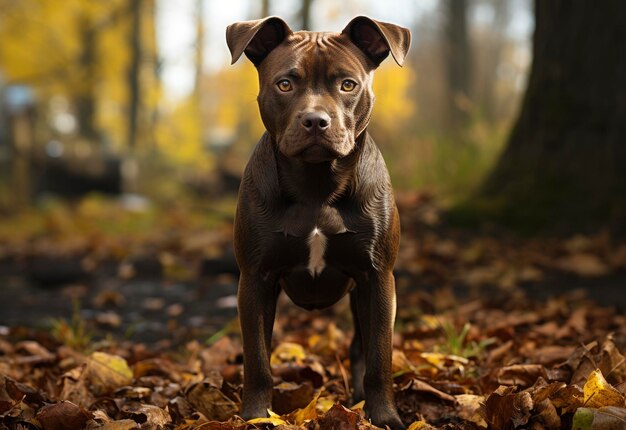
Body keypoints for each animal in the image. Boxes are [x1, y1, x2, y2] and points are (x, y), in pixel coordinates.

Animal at [225, 15, 410, 428]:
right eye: (285, 83)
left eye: (348, 84)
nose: (315, 121)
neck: (315, 185)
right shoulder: (255, 279)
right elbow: (257, 360)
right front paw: (256, 415)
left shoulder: (377, 278)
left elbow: (379, 357)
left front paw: (384, 416)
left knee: (360, 347)